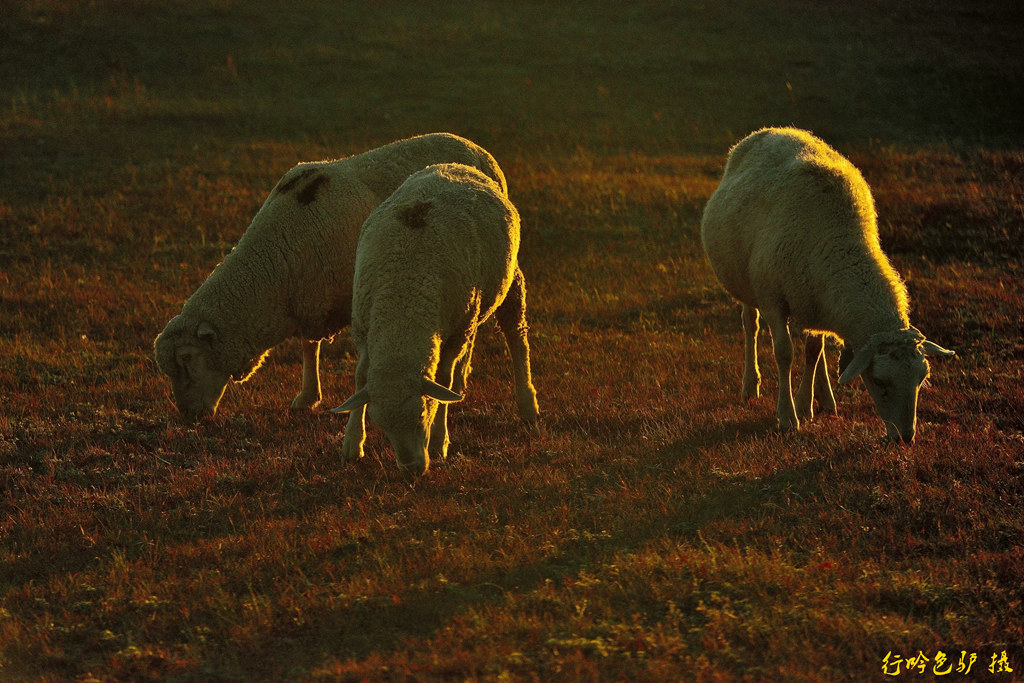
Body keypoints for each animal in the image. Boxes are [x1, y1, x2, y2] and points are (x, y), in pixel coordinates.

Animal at [153, 132, 505, 421]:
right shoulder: (310, 299)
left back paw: (459, 379)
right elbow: (309, 347)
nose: (187, 415)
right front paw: (307, 398)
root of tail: (474, 145)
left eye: (187, 358)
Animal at [333, 163, 544, 479]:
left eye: (424, 411)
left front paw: (438, 441)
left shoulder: (456, 330)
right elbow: (360, 377)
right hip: (472, 305)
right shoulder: (364, 330)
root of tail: (454, 166)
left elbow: (442, 378)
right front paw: (352, 442)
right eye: (381, 425)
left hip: (506, 283)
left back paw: (527, 403)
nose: (412, 470)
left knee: (515, 336)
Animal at [700, 127, 954, 444]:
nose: (905, 437)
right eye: (879, 381)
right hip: (749, 283)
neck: (840, 240)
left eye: (921, 379)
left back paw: (824, 398)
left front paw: (806, 404)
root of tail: (774, 130)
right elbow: (784, 353)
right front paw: (788, 416)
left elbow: (812, 351)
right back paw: (750, 386)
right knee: (750, 325)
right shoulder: (773, 299)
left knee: (814, 343)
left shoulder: (816, 297)